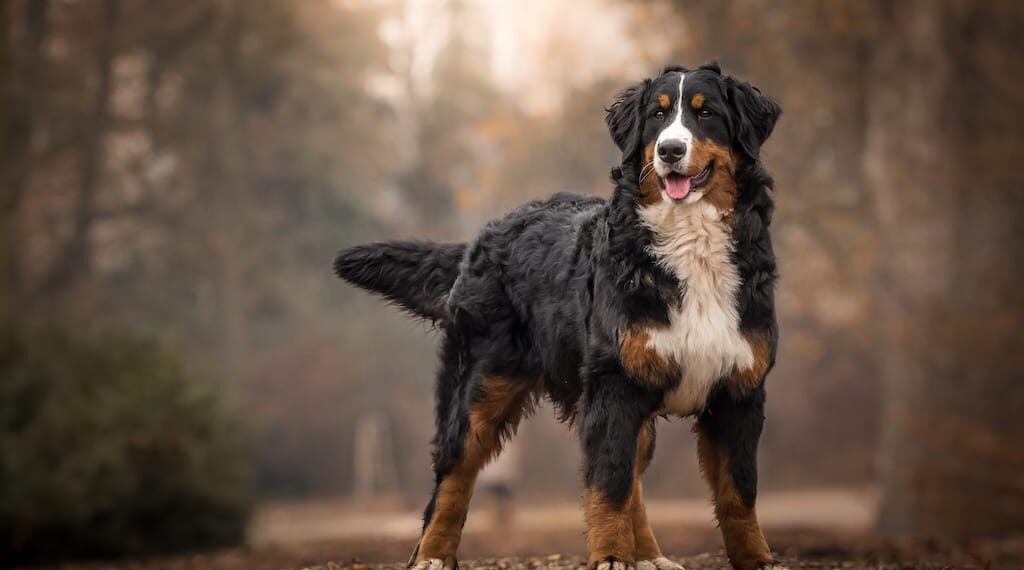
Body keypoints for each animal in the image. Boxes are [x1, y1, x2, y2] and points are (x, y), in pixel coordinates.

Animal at [335, 63, 782, 568]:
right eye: (657, 115)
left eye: (707, 114)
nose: (669, 150)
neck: (690, 244)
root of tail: (484, 236)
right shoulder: (613, 386)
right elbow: (608, 486)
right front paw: (610, 557)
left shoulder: (739, 390)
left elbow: (737, 493)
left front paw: (756, 559)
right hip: (479, 388)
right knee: (454, 475)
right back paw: (432, 555)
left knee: (634, 479)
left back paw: (648, 555)